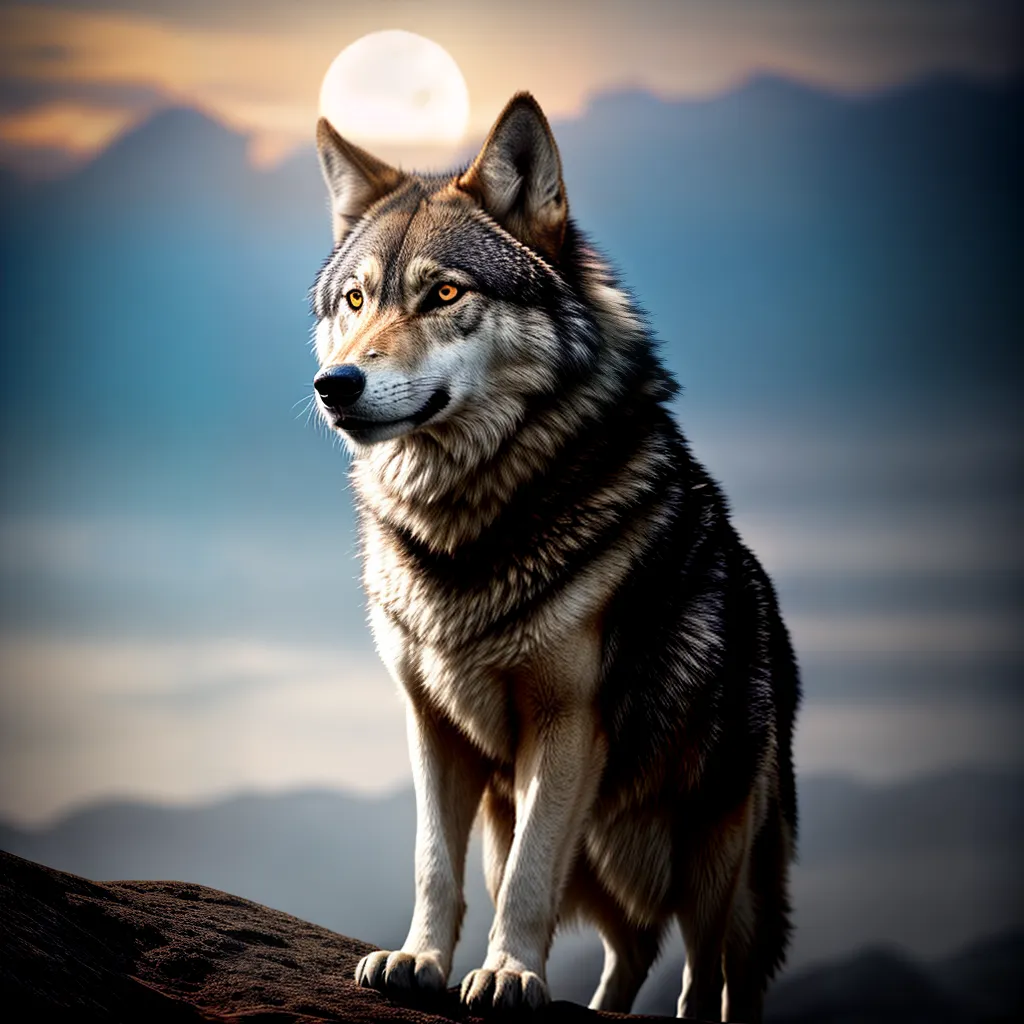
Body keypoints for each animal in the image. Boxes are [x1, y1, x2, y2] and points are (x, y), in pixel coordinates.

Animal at [309, 93, 800, 1022]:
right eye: (355, 299)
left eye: (445, 292)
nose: (335, 386)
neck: (463, 529)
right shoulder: (430, 722)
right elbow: (434, 866)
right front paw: (418, 960)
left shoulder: (567, 723)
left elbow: (530, 879)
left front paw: (507, 977)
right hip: (600, 856)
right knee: (635, 946)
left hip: (716, 860)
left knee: (712, 972)